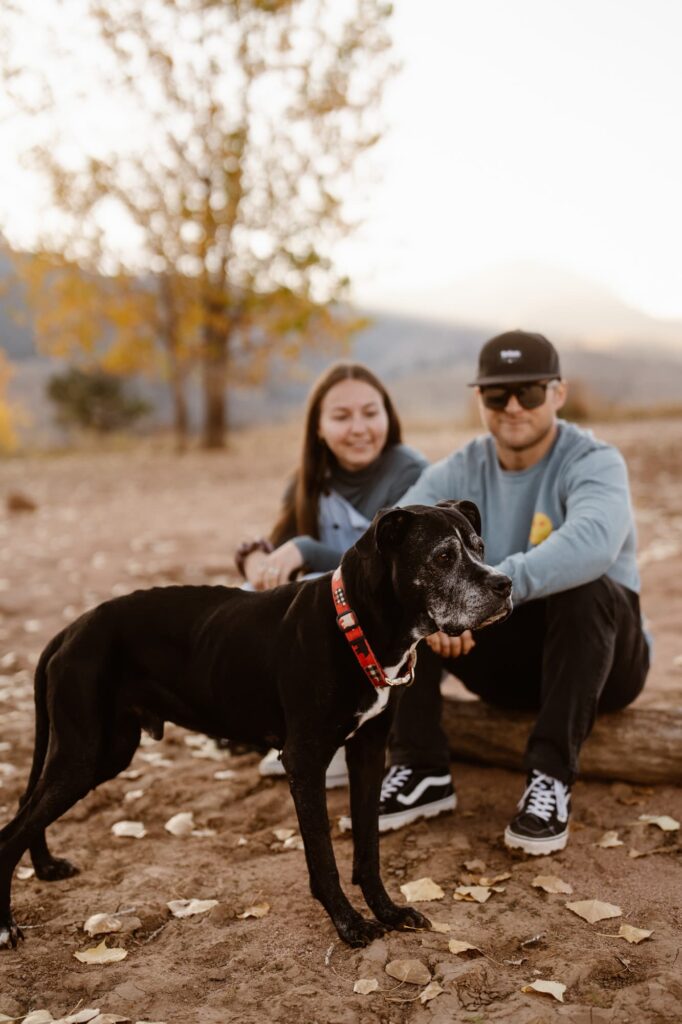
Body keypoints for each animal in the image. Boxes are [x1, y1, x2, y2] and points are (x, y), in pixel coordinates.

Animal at [0, 499, 509, 946]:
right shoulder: (303, 761)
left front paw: (388, 911)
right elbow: (323, 857)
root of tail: (69, 630)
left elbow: (368, 848)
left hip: (105, 751)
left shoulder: (368, 751)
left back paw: (45, 867)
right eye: (443, 556)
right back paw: (6, 926)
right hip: (85, 754)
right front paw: (348, 924)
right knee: (12, 831)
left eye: (479, 547)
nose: (504, 584)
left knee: (26, 804)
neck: (356, 625)